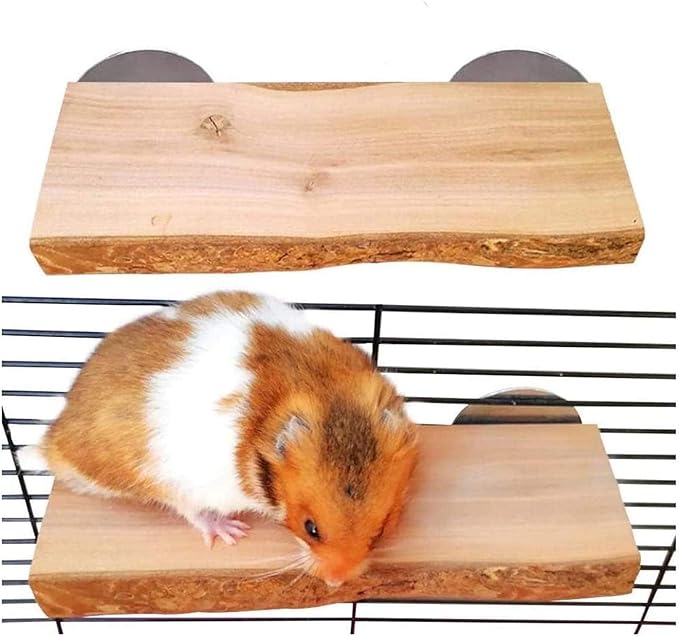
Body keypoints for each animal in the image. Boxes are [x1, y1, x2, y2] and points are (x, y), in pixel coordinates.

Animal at [34, 291, 418, 587]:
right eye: (310, 529)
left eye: (381, 531)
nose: (336, 582)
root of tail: (55, 440)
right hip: (167, 479)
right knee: (191, 511)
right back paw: (230, 530)